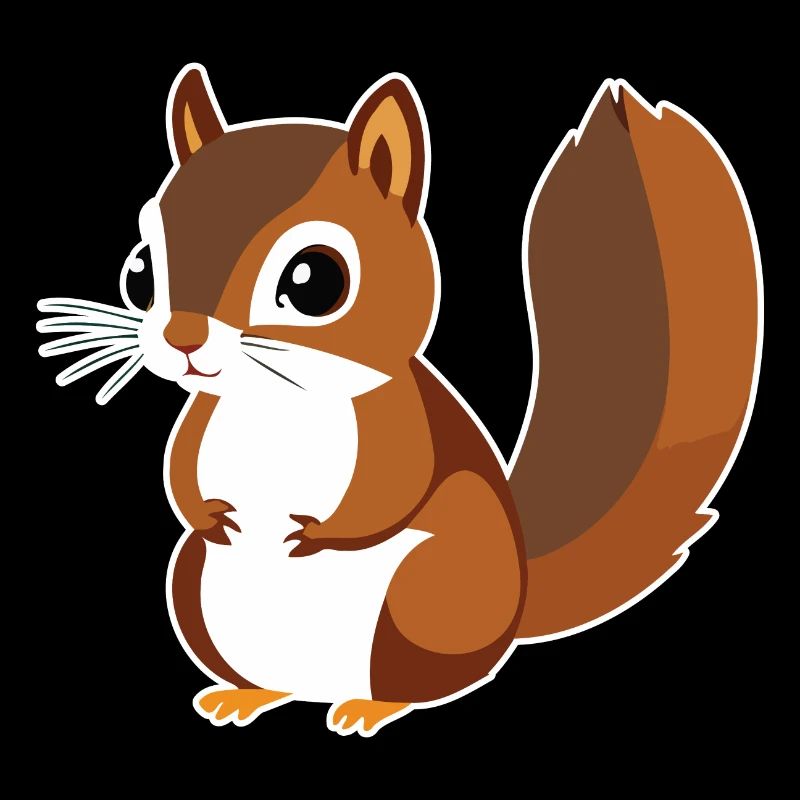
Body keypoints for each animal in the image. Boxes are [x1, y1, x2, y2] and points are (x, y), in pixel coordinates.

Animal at [37, 64, 760, 736]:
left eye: (315, 280)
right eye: (140, 269)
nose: (182, 337)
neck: (273, 402)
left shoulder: (399, 423)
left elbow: (390, 489)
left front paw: (314, 534)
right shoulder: (202, 421)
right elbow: (180, 474)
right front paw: (211, 515)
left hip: (426, 598)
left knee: (418, 682)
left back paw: (370, 707)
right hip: (194, 589)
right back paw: (246, 695)